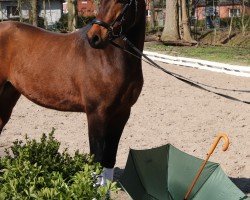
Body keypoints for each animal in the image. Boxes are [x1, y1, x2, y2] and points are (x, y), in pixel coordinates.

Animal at [0, 0, 146, 183]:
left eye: (121, 1)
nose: (94, 38)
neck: (110, 59)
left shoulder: (122, 113)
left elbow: (109, 158)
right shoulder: (97, 113)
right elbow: (96, 159)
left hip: (8, 94)